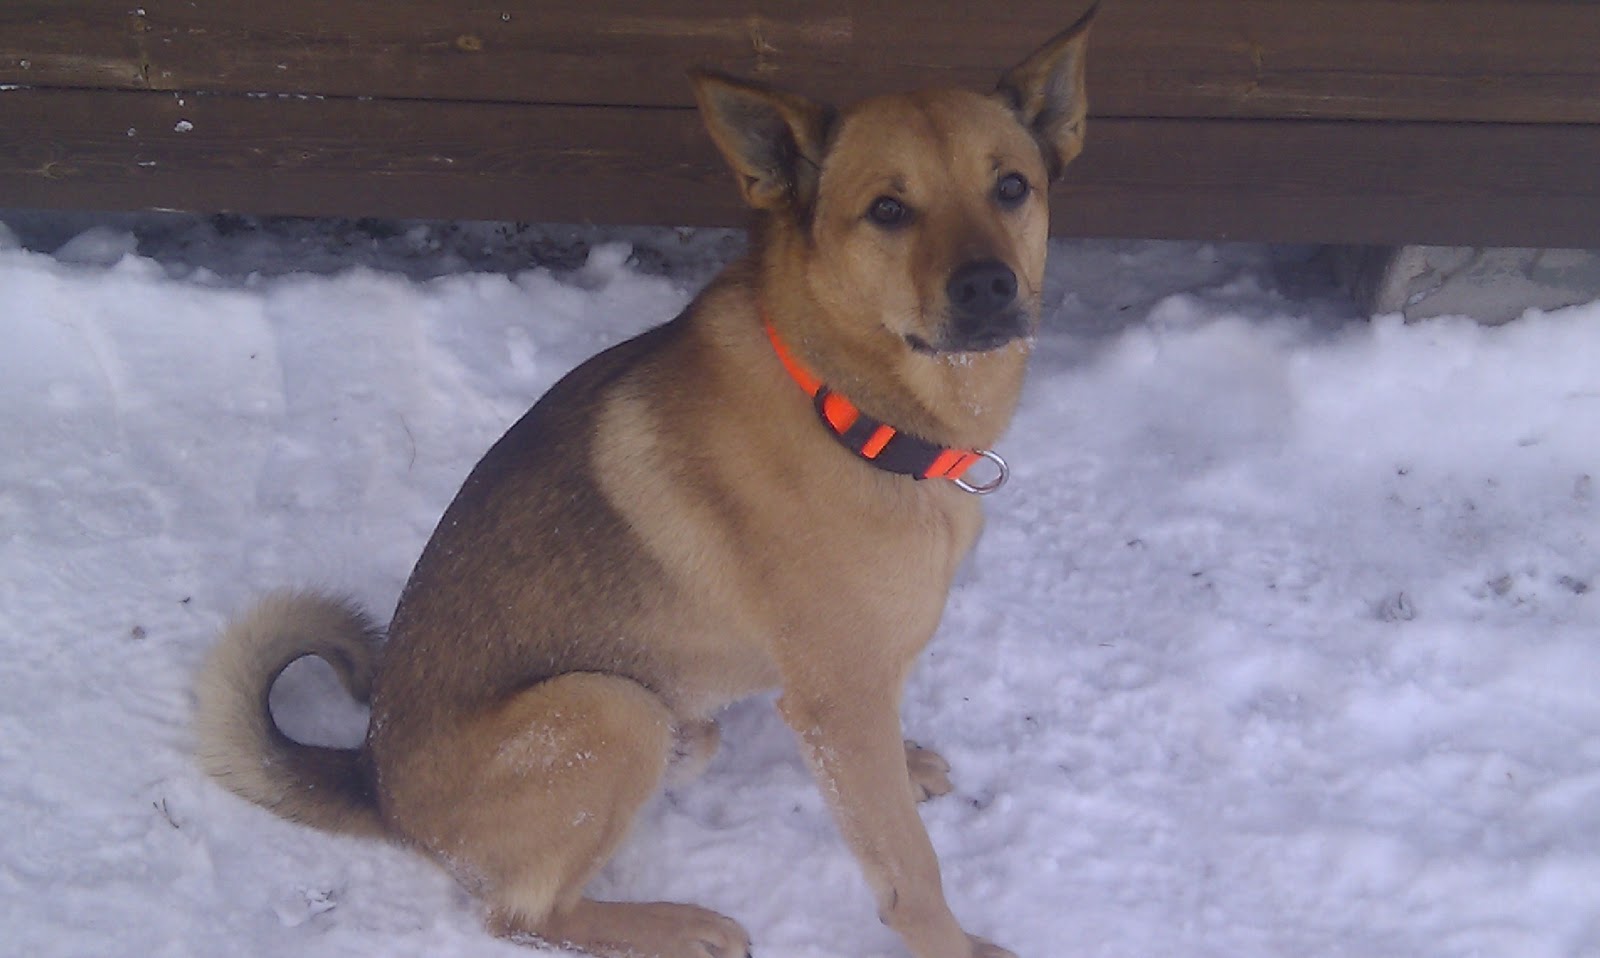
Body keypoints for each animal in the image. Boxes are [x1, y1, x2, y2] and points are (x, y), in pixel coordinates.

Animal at [195, 8, 1094, 957]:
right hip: (606, 709)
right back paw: (675, 925)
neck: (847, 405)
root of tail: (374, 781)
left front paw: (911, 761)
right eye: (888, 210)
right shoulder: (837, 704)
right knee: (522, 914)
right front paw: (954, 943)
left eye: (1011, 188)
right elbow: (907, 867)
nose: (989, 286)